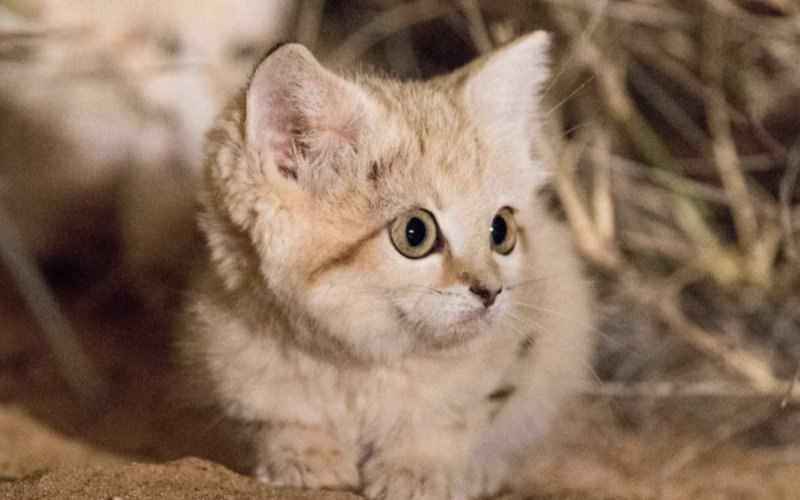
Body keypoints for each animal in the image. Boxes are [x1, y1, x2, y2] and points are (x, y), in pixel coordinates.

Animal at [183, 32, 592, 500]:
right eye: (415, 233)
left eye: (501, 230)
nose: (492, 291)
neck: (358, 368)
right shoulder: (230, 357)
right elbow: (280, 418)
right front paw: (304, 455)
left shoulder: (519, 355)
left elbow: (450, 421)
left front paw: (420, 469)